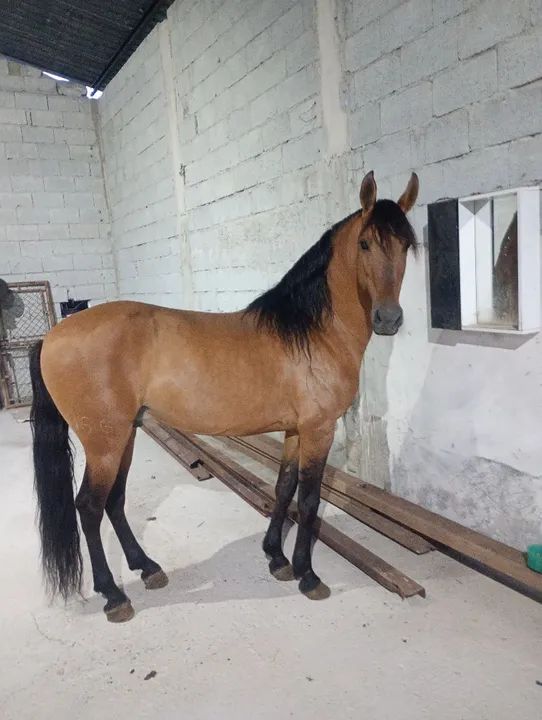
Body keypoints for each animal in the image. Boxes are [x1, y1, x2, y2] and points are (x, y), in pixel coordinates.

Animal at [29, 170, 418, 622]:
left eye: (406, 245)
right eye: (365, 243)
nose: (389, 319)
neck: (311, 332)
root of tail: (52, 336)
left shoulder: (295, 431)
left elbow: (283, 489)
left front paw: (276, 558)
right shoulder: (319, 430)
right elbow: (308, 500)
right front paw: (307, 575)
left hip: (125, 434)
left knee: (115, 501)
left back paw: (148, 568)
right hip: (104, 441)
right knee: (90, 508)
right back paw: (114, 595)